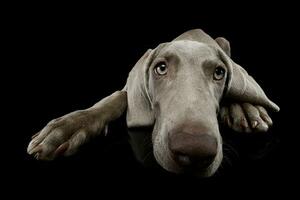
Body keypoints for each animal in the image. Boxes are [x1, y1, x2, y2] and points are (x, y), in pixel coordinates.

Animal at [27, 28, 278, 177]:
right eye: (161, 68)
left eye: (219, 72)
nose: (194, 150)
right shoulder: (128, 88)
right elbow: (116, 98)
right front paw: (65, 129)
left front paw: (244, 108)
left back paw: (247, 110)